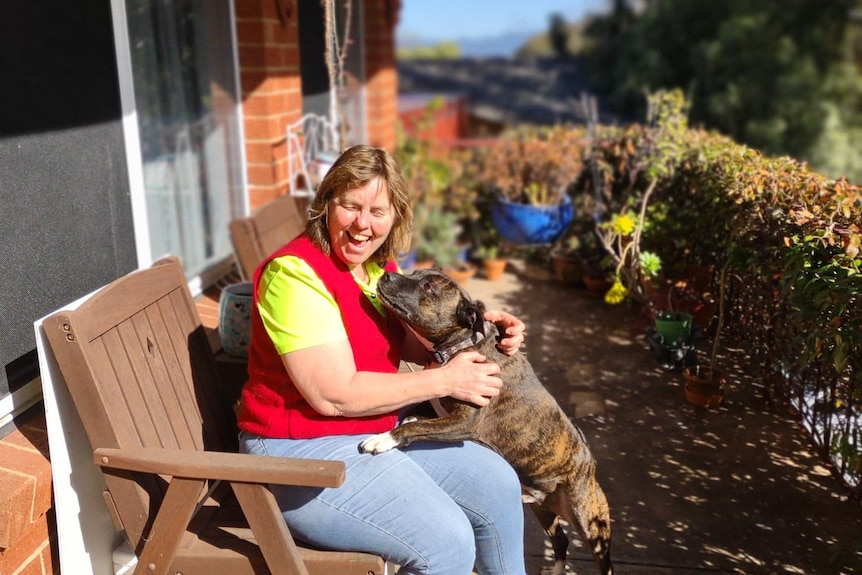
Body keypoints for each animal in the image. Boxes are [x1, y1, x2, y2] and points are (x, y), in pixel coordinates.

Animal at [360, 270, 616, 575]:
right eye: (412, 274)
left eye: (427, 287)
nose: (387, 274)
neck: (462, 344)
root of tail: (588, 459)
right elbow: (418, 411)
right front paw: (408, 417)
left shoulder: (464, 422)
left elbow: (415, 426)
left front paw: (384, 438)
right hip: (543, 508)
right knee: (561, 541)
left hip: (590, 521)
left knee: (603, 561)